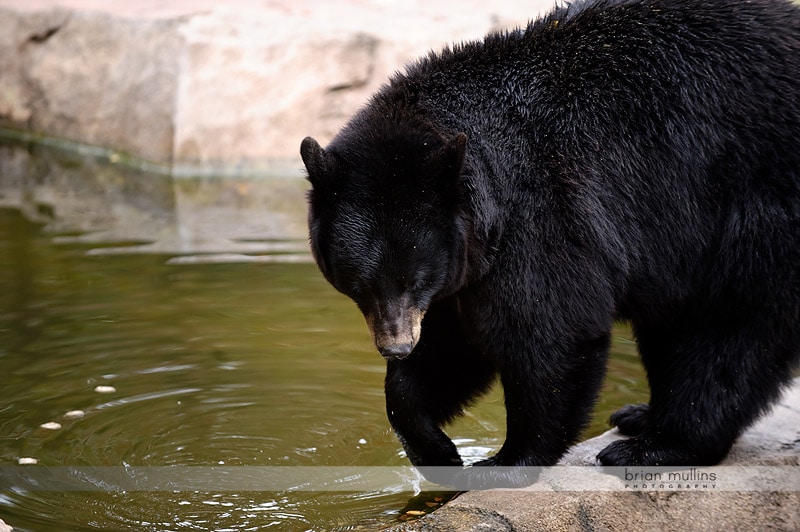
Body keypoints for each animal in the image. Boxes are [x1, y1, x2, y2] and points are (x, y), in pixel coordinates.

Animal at [300, 0, 800, 486]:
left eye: (415, 280)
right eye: (358, 283)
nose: (396, 347)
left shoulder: (542, 214)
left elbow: (551, 330)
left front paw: (507, 461)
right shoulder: (462, 267)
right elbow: (451, 346)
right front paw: (436, 448)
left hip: (748, 208)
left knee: (726, 325)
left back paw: (657, 444)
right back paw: (640, 417)